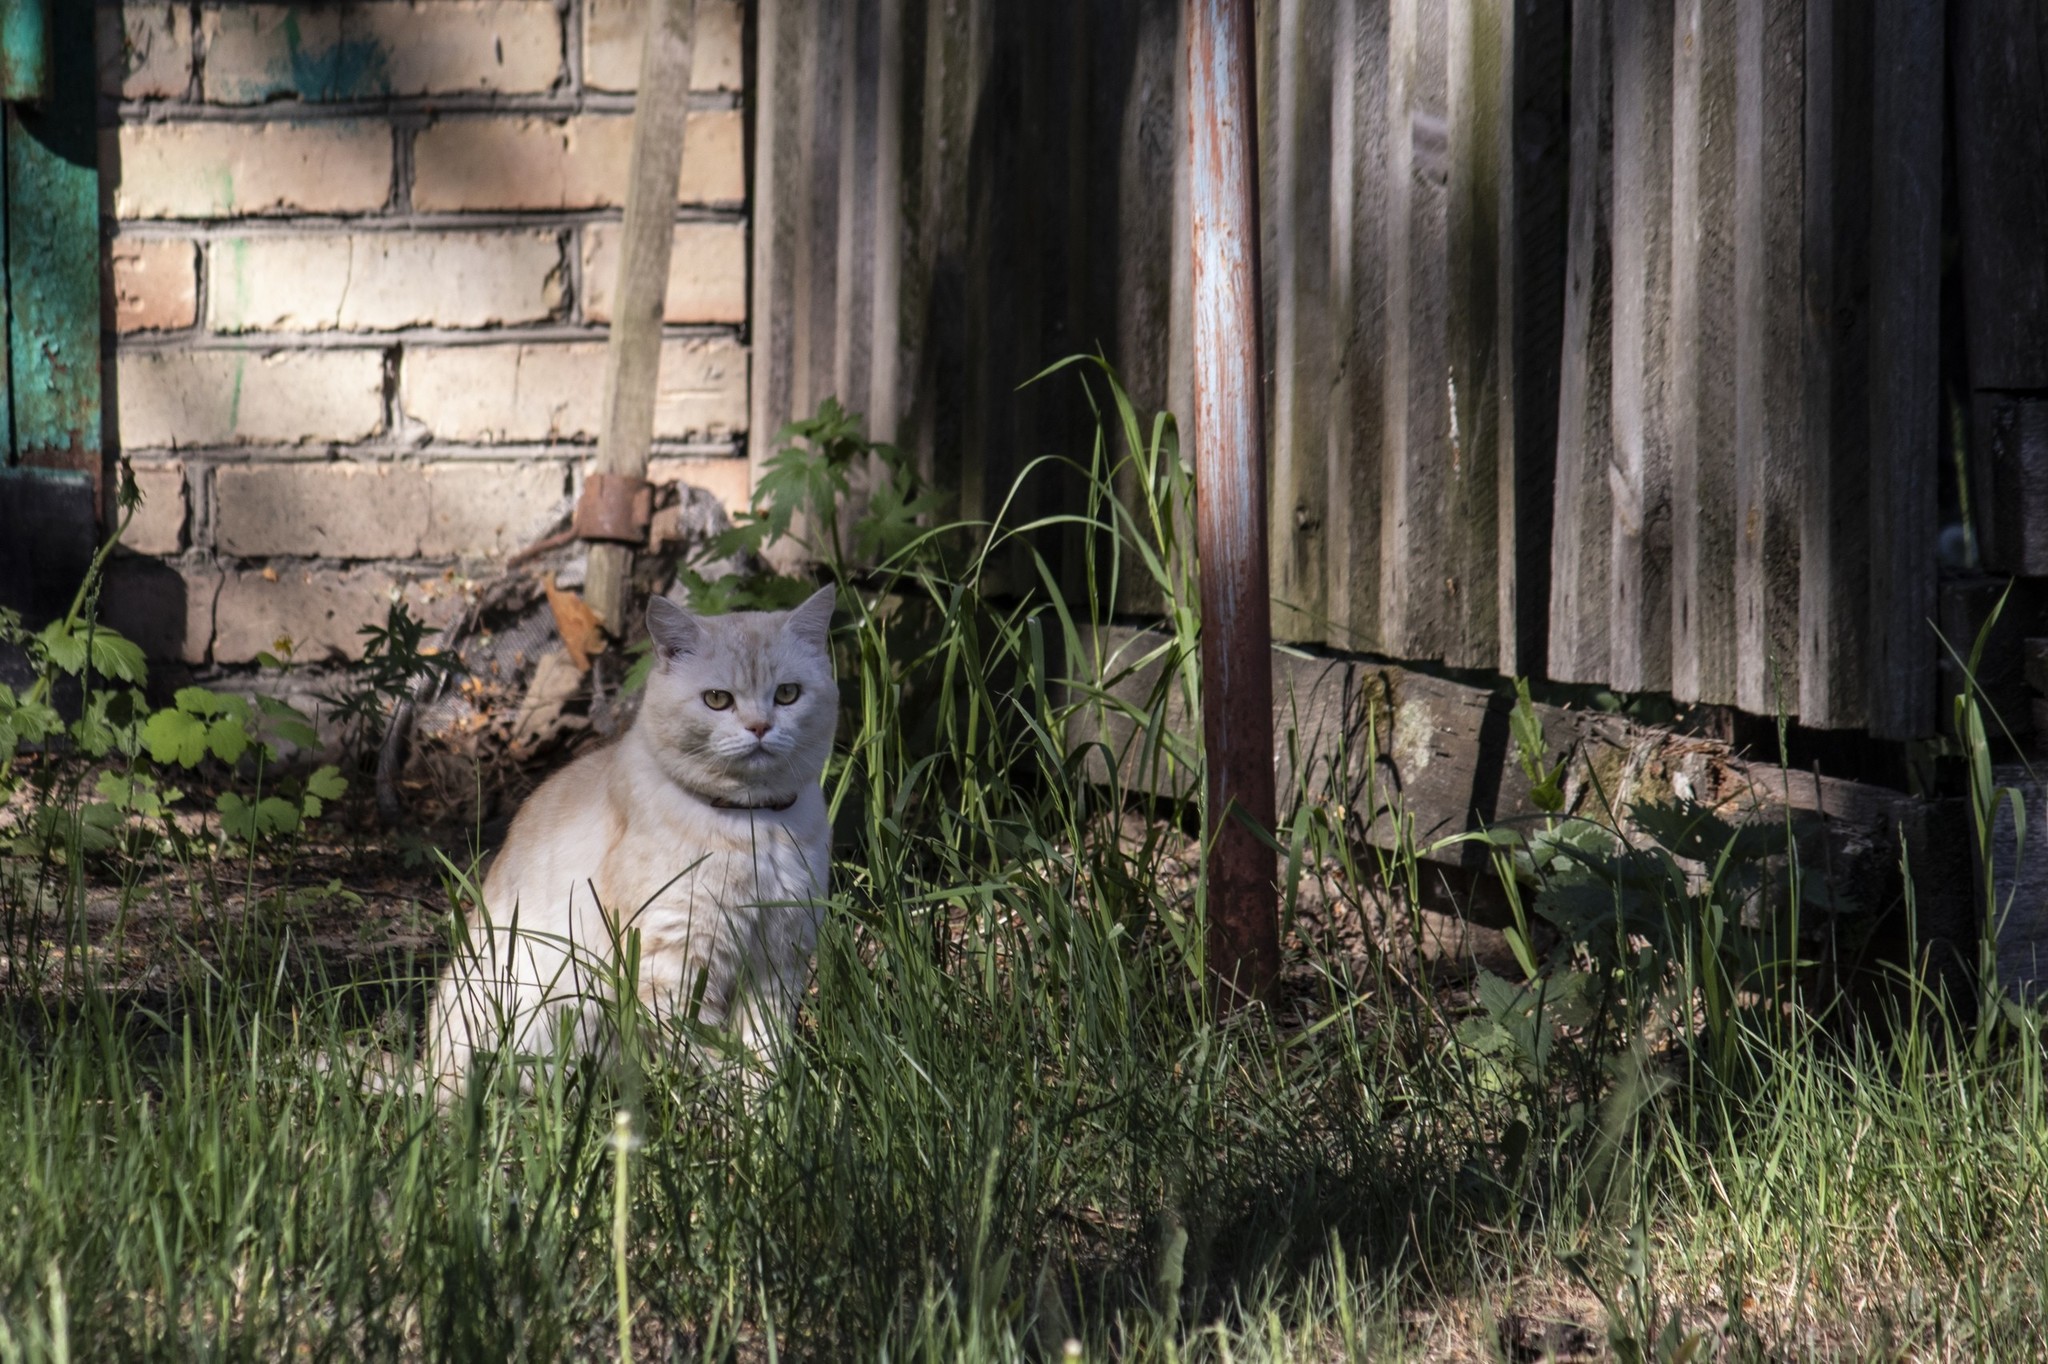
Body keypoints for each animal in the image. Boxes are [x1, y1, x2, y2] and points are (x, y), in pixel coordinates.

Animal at [428, 585, 835, 1097]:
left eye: (787, 694)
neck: (752, 826)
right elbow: (709, 1058)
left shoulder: (778, 961)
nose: (760, 726)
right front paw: (728, 1109)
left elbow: (764, 1053)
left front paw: (768, 1106)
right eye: (717, 699)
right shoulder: (671, 965)